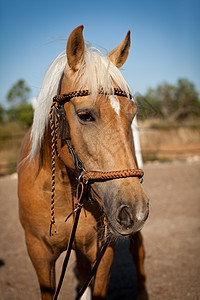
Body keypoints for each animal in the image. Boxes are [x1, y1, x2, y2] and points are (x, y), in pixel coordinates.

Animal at [17, 24, 148, 298]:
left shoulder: (103, 249)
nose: (135, 210)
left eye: (131, 115)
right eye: (85, 115)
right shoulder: (39, 254)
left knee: (138, 253)